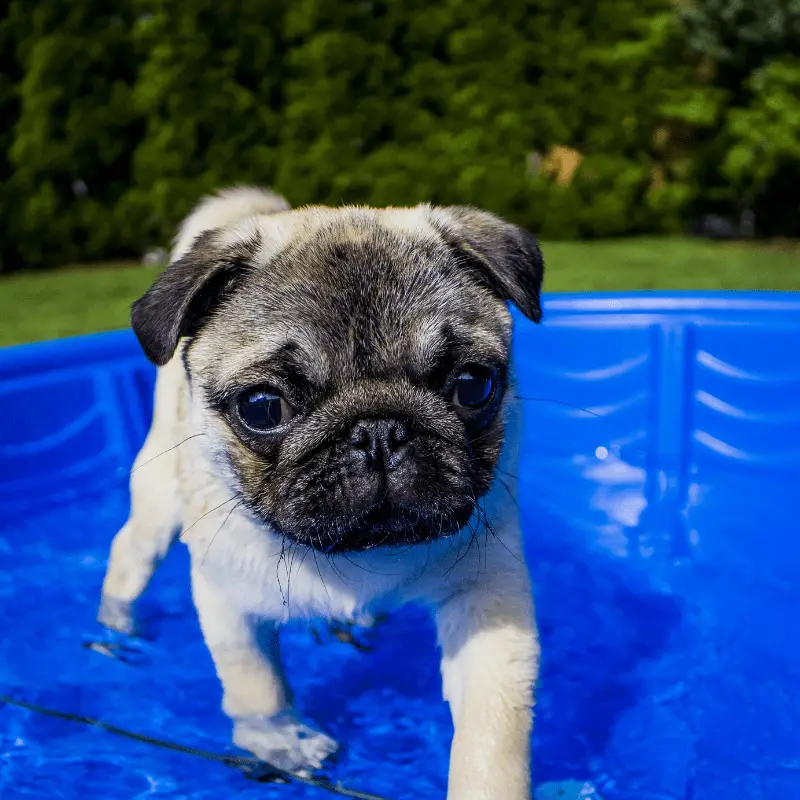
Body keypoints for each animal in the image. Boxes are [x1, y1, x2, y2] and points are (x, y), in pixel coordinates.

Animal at [97, 188, 540, 800]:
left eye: (473, 386)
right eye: (262, 408)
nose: (379, 431)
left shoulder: (489, 600)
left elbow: (491, 732)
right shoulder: (228, 599)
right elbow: (257, 684)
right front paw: (279, 741)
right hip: (159, 503)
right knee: (129, 556)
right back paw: (114, 629)